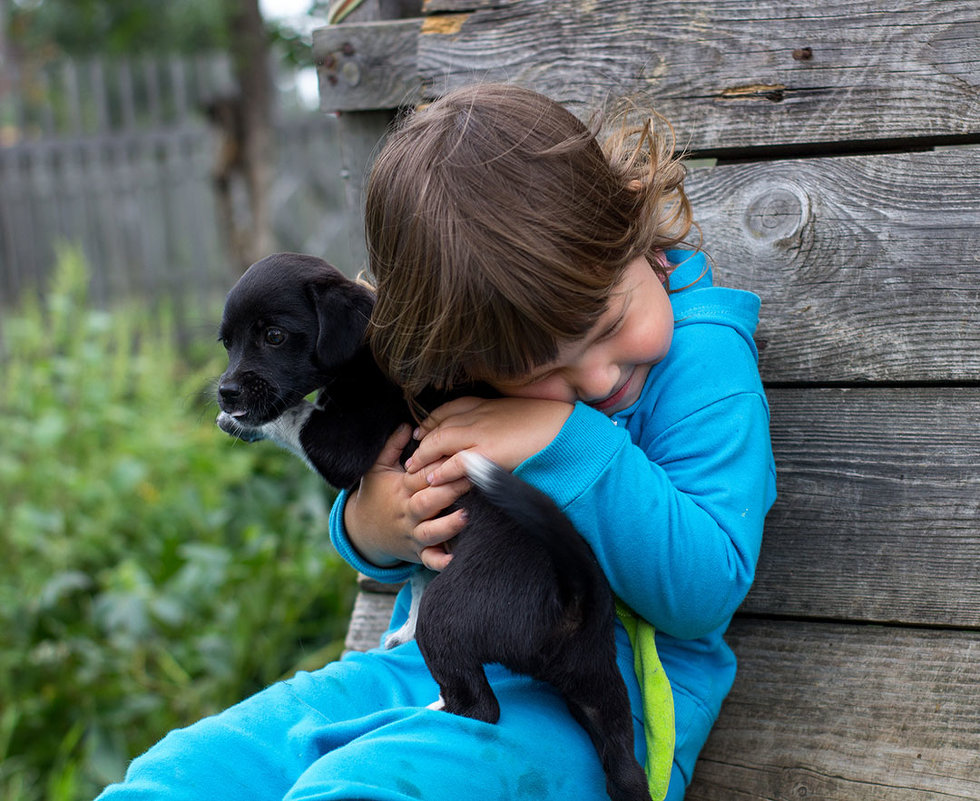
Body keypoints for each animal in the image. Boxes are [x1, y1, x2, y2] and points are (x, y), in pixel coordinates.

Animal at [218, 252, 656, 800]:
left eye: (274, 336)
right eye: (226, 342)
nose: (224, 392)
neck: (368, 344)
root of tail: (571, 595)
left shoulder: (342, 441)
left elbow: (293, 415)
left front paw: (244, 420)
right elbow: (419, 571)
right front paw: (402, 626)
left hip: (451, 621)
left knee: (482, 707)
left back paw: (437, 708)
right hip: (599, 687)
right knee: (625, 767)